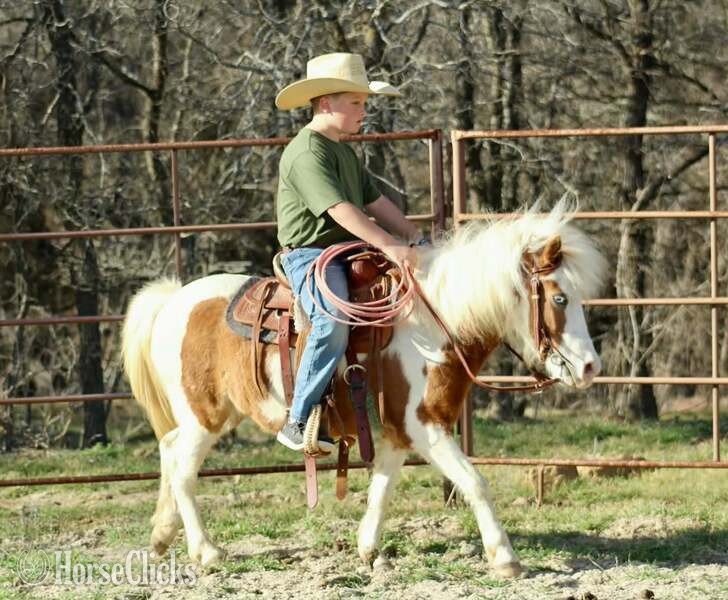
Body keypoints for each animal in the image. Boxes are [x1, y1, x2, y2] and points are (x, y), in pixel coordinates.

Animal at [121, 203, 606, 578]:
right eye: (559, 298)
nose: (590, 368)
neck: (436, 321)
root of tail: (172, 300)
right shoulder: (426, 425)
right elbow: (475, 482)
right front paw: (505, 558)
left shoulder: (397, 430)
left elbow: (382, 488)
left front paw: (369, 550)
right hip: (205, 416)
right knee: (182, 468)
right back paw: (205, 551)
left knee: (168, 451)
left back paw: (162, 535)